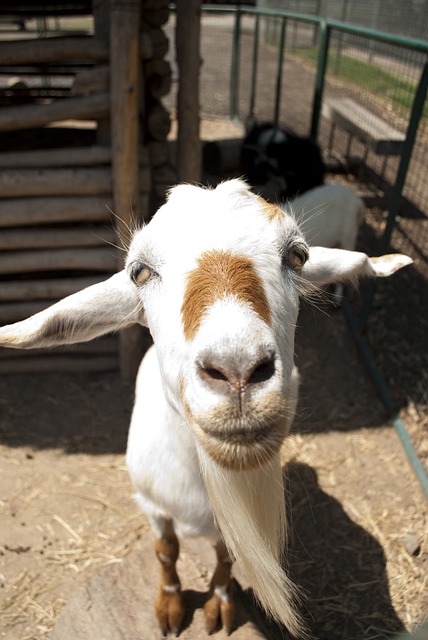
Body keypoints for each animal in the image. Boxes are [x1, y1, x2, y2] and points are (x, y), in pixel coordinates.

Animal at [0, 179, 412, 636]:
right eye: (140, 270)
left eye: (297, 255)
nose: (237, 370)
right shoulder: (152, 505)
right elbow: (166, 551)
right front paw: (169, 606)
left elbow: (226, 557)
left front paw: (220, 605)